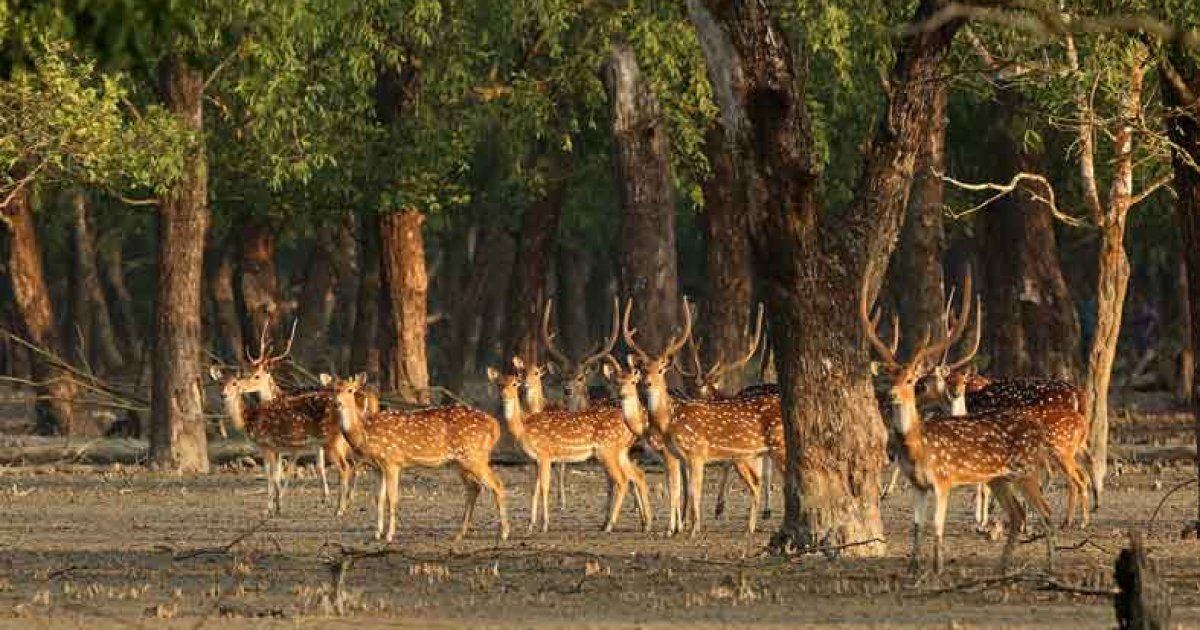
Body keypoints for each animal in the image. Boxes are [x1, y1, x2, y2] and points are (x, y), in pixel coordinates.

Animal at [319, 372, 506, 542]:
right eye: (333, 389)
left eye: (350, 390)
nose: (337, 403)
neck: (365, 434)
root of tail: (495, 425)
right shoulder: (378, 467)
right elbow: (378, 498)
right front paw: (377, 533)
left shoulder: (392, 460)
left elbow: (392, 498)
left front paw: (389, 535)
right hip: (460, 461)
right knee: (474, 488)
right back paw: (460, 534)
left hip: (474, 456)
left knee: (497, 485)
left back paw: (503, 533)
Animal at [487, 362, 652, 530]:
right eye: (499, 384)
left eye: (515, 384)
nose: (504, 395)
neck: (523, 427)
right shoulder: (534, 459)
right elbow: (534, 488)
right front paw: (531, 524)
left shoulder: (545, 455)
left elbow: (544, 487)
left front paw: (544, 524)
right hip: (620, 452)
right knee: (637, 474)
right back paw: (645, 523)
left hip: (607, 450)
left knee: (622, 480)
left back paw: (610, 524)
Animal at [624, 300, 782, 535]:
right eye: (642, 369)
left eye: (661, 369)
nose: (647, 383)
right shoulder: (681, 456)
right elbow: (682, 488)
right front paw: (677, 528)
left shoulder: (695, 453)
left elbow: (691, 490)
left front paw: (690, 528)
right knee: (760, 481)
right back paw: (750, 526)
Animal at [864, 272, 1060, 571]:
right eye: (889, 378)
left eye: (910, 380)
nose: (890, 394)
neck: (918, 448)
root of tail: (1037, 430)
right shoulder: (918, 485)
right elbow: (916, 527)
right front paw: (913, 569)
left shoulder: (943, 479)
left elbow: (937, 526)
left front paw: (937, 569)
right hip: (999, 478)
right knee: (1017, 514)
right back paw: (1002, 567)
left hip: (1025, 471)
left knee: (1047, 513)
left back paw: (1050, 567)